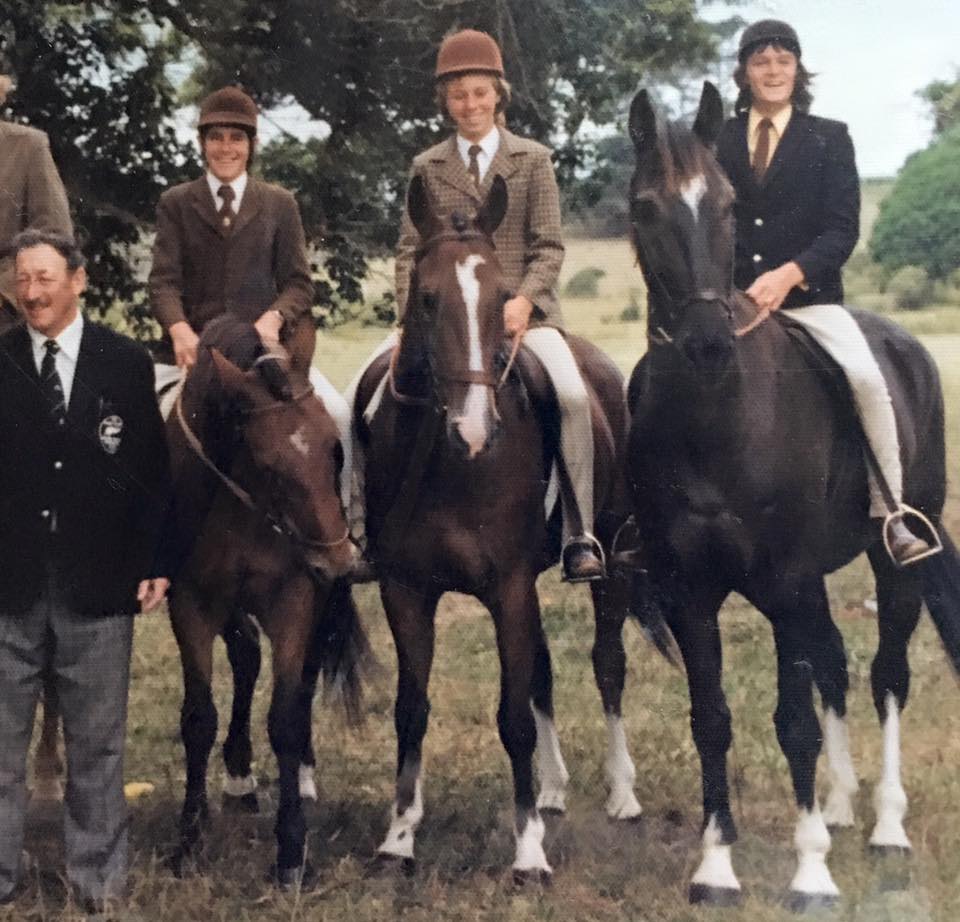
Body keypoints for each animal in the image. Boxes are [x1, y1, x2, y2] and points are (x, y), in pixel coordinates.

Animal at [166, 316, 368, 884]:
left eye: (334, 451)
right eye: (269, 465)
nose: (340, 563)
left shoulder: (295, 600)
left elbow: (286, 717)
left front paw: (292, 851)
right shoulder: (191, 604)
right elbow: (199, 718)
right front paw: (189, 840)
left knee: (297, 681)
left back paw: (298, 777)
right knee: (246, 656)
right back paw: (238, 776)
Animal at [352, 178, 636, 876]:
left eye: (504, 298)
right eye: (427, 299)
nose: (475, 431)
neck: (450, 465)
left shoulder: (507, 587)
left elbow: (514, 718)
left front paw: (528, 848)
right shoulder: (405, 591)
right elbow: (411, 709)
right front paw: (400, 835)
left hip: (612, 562)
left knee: (608, 664)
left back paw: (621, 793)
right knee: (543, 671)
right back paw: (554, 787)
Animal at [620, 84, 960, 904]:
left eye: (727, 203)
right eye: (645, 207)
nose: (708, 345)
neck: (718, 419)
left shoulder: (784, 580)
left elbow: (793, 721)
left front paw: (810, 871)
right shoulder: (690, 590)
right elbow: (712, 717)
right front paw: (715, 865)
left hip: (892, 561)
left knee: (886, 676)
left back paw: (886, 828)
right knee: (834, 663)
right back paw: (838, 805)